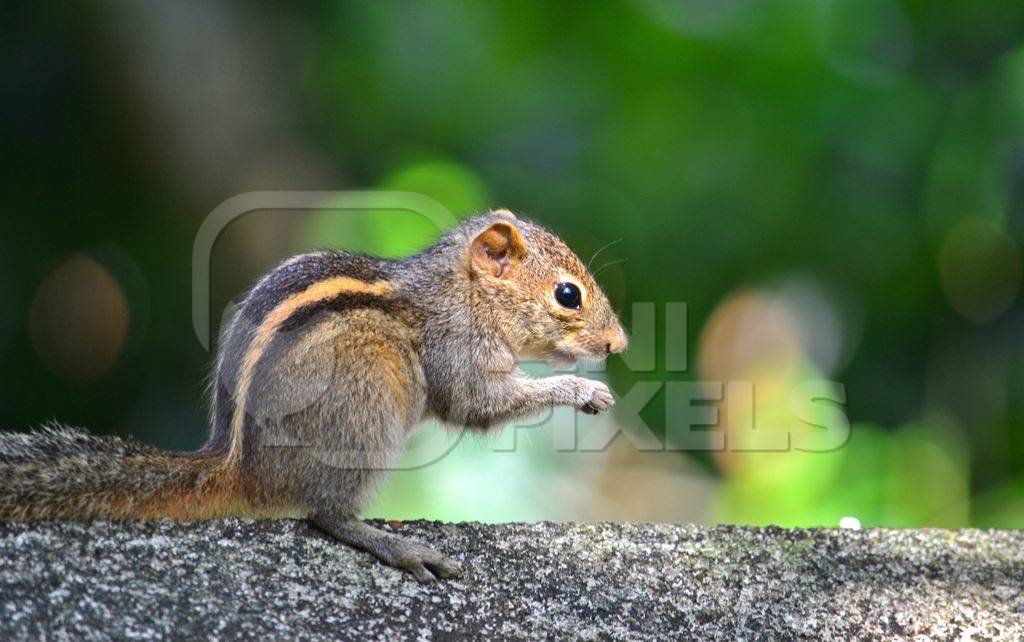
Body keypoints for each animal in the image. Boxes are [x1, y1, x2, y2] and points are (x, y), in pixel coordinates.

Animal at [0, 211, 626, 581]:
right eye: (567, 295)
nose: (618, 342)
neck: (462, 292)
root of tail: (240, 466)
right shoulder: (456, 348)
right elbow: (478, 403)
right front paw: (585, 389)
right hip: (364, 413)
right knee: (325, 514)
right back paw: (397, 547)